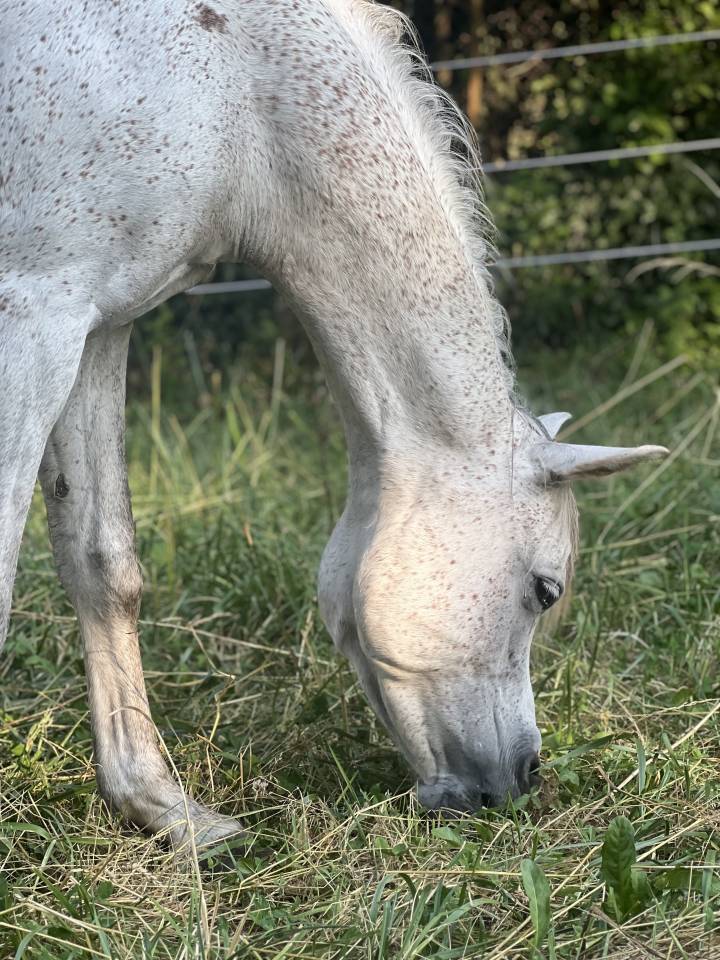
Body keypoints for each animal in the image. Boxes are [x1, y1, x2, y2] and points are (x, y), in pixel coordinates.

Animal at [0, 0, 668, 847]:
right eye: (546, 591)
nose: (520, 779)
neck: (236, 80)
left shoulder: (97, 323)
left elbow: (103, 565)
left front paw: (163, 809)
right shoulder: (32, 315)